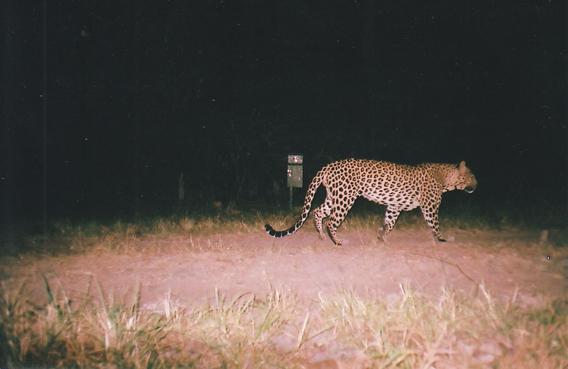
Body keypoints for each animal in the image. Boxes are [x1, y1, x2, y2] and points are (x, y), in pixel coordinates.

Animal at [264, 158, 478, 244]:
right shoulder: (430, 206)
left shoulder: (394, 205)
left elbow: (389, 222)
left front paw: (382, 236)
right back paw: (338, 241)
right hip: (345, 198)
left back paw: (322, 236)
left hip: (334, 196)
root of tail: (328, 166)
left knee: (317, 212)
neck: (446, 179)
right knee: (331, 221)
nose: (477, 185)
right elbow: (435, 224)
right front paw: (444, 238)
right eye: (472, 176)